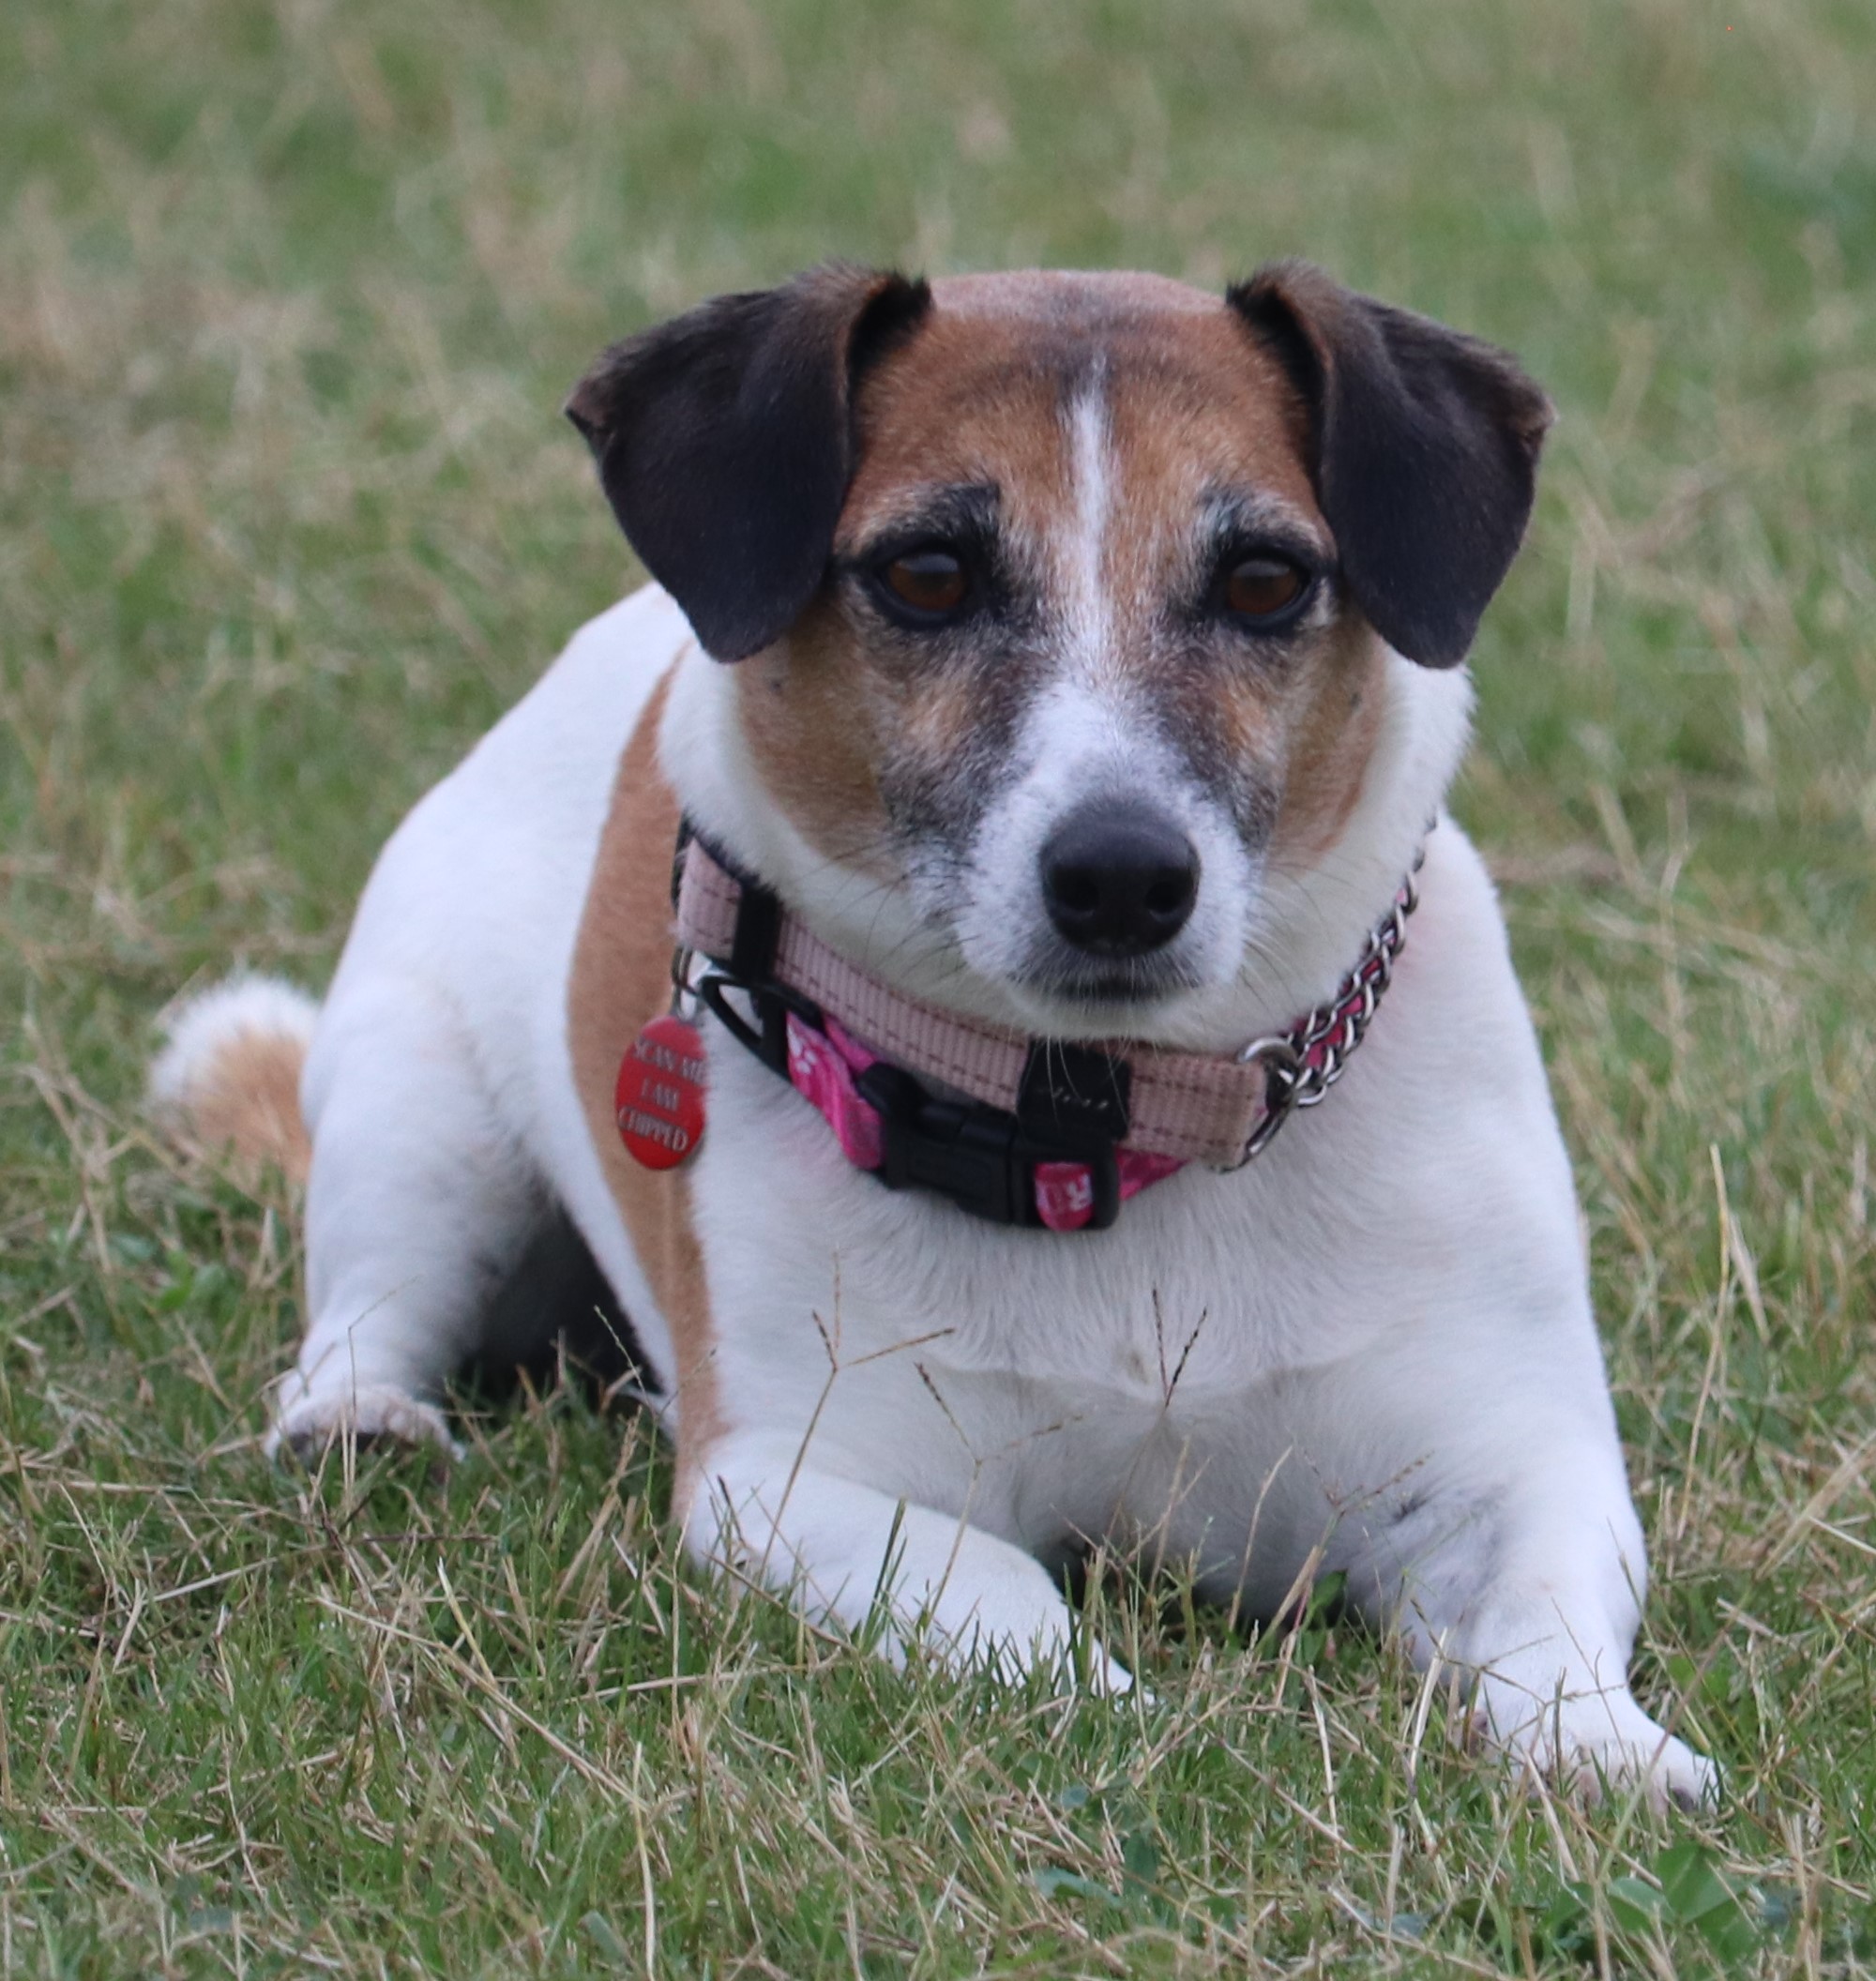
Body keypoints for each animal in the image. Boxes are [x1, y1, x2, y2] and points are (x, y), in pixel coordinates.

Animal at [153, 260, 1715, 1807]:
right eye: (928, 575)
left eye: (1267, 581)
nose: (1122, 877)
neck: (1099, 1131)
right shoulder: (798, 1484)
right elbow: (1010, 1598)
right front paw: (1119, 1716)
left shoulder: (1512, 1459)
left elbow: (1542, 1612)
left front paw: (1598, 1742)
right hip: (425, 1117)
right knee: (372, 1305)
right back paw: (360, 1416)